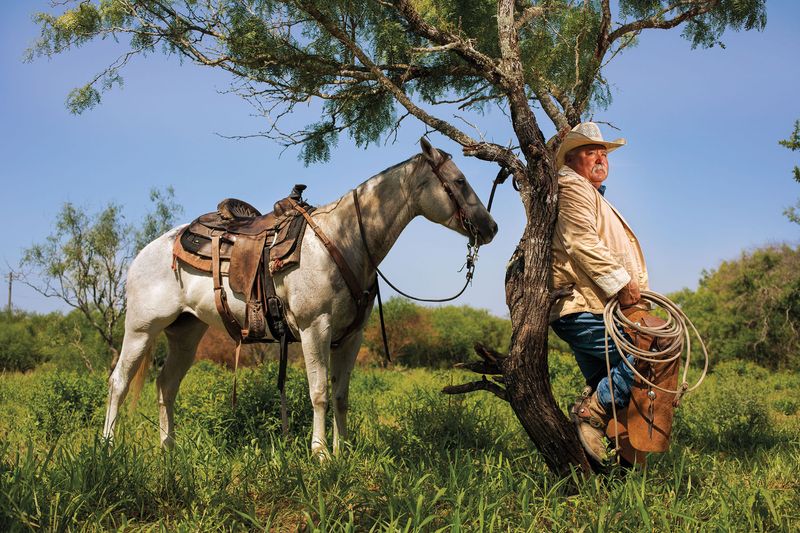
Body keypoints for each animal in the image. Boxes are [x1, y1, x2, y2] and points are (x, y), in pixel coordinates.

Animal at [103, 139, 496, 456]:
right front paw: (320, 454)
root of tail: (145, 252)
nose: (491, 227)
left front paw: (342, 452)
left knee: (166, 385)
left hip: (186, 333)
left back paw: (168, 449)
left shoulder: (350, 337)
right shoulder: (314, 328)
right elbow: (318, 392)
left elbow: (341, 396)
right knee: (119, 381)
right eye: (459, 181)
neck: (344, 239)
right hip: (141, 329)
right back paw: (107, 448)